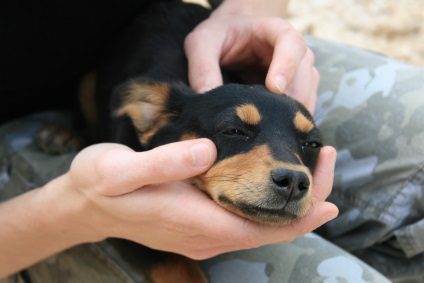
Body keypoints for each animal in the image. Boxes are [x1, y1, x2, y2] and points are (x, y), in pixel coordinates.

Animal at [37, 1, 322, 282]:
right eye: (233, 131)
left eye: (313, 145)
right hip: (87, 83)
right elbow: (181, 270)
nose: (294, 181)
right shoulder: (128, 231)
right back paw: (64, 134)